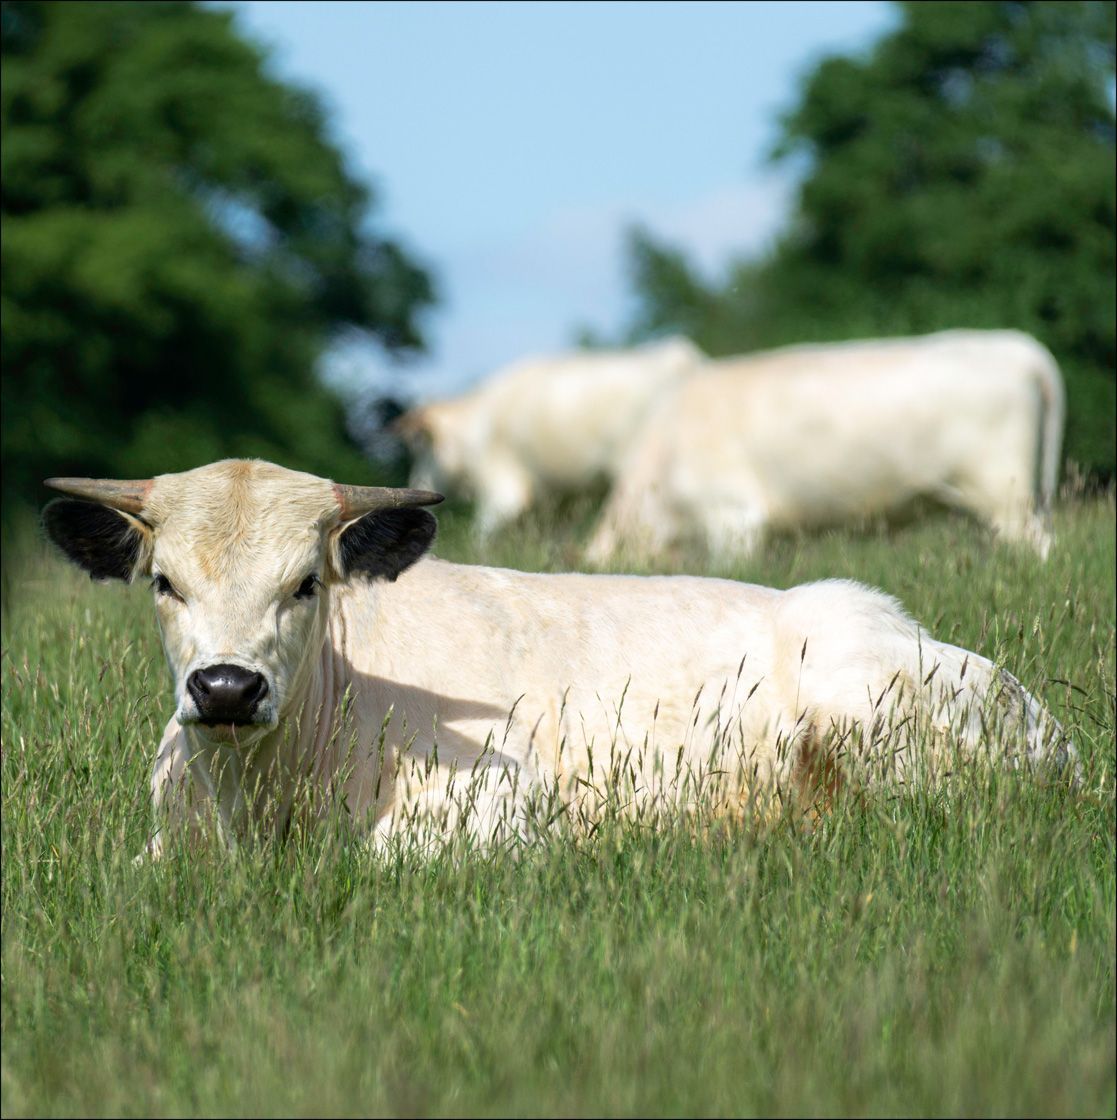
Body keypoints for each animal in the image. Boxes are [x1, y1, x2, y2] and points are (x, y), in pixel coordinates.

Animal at [395, 336, 704, 535]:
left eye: (420, 445)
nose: (415, 482)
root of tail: (677, 357)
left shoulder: (504, 488)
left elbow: (481, 533)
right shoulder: (557, 500)